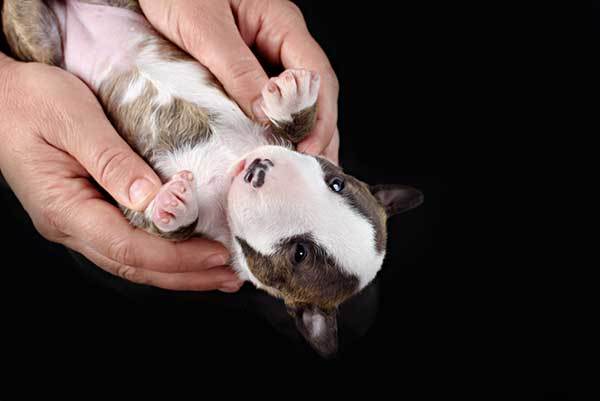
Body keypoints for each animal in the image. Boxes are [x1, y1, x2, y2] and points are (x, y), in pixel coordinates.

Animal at [3, 0, 422, 356]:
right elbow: (293, 126)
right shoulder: (266, 128)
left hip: (44, 46)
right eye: (336, 182)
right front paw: (295, 97)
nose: (258, 170)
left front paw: (174, 206)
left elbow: (168, 228)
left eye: (299, 254)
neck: (229, 171)